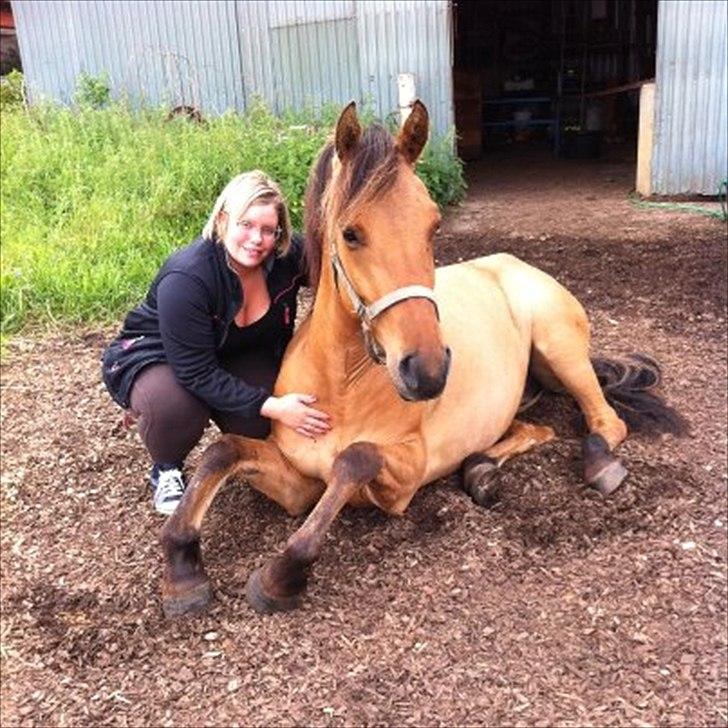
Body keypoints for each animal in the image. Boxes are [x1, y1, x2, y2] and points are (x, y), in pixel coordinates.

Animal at [158, 99, 684, 616]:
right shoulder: (296, 481)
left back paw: (598, 465)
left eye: (433, 225)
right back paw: (481, 471)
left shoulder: (402, 479)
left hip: (561, 350)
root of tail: (515, 264)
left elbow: (354, 458)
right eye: (351, 234)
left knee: (605, 422)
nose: (427, 372)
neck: (341, 384)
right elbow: (224, 450)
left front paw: (281, 575)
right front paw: (182, 568)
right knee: (536, 429)